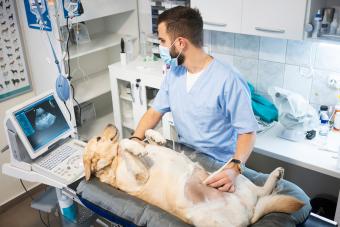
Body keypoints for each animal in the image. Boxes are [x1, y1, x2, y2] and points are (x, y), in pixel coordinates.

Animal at [82, 125, 302, 226]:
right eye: (99, 137)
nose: (110, 123)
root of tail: (250, 212)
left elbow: (148, 140)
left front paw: (154, 136)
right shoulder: (139, 176)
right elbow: (124, 148)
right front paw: (131, 147)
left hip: (239, 181)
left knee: (260, 189)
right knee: (261, 194)